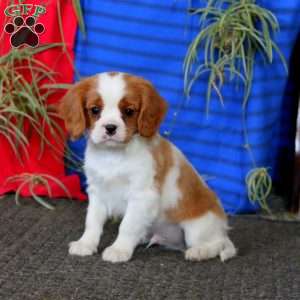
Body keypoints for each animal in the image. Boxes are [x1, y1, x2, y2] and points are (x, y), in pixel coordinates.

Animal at [59, 72, 237, 262]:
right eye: (95, 110)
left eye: (129, 111)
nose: (110, 128)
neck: (113, 155)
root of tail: (222, 227)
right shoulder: (97, 191)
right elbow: (92, 221)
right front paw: (85, 244)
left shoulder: (141, 195)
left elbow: (127, 225)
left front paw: (119, 249)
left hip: (197, 229)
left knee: (218, 243)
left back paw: (200, 251)